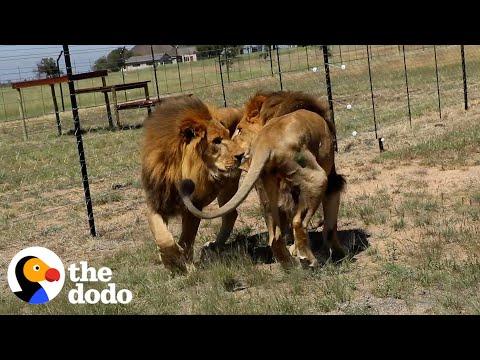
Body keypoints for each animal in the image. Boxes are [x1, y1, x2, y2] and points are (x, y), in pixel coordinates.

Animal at [139, 95, 244, 272]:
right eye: (216, 141)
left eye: (229, 136)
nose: (241, 155)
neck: (176, 172)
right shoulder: (156, 203)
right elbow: (163, 237)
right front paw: (168, 260)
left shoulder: (194, 207)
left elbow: (187, 239)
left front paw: (185, 264)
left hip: (228, 188)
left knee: (230, 214)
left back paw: (215, 246)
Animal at [180, 91, 344, 268]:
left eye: (239, 130)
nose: (235, 154)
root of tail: (265, 145)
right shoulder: (332, 181)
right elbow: (330, 226)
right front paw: (337, 252)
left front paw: (294, 249)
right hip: (317, 178)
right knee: (298, 222)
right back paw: (309, 260)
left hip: (265, 189)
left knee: (274, 237)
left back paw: (290, 265)